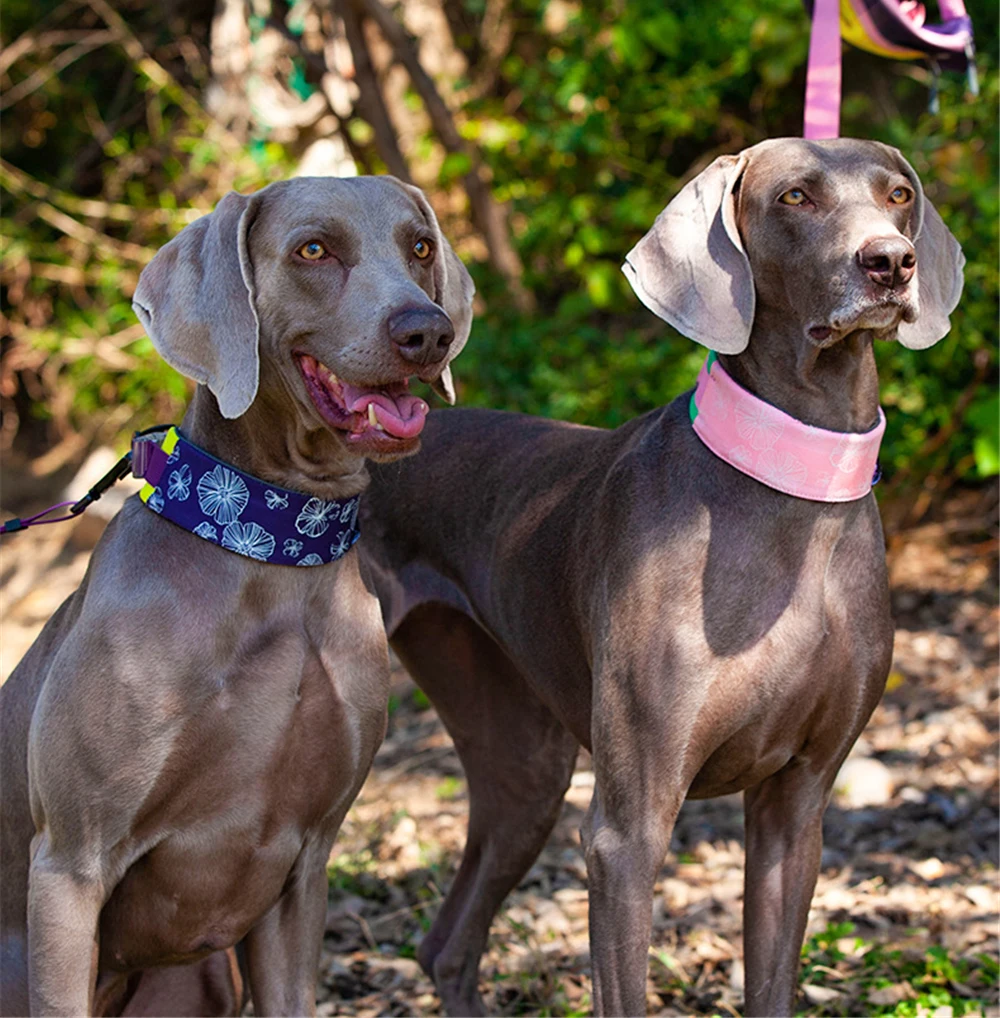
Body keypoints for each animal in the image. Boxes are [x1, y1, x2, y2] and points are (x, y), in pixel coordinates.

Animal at [0, 177, 474, 1018]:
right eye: (313, 249)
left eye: (420, 246)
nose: (429, 332)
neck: (272, 548)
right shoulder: (70, 864)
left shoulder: (303, 868)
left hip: (207, 976)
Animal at [358, 137, 961, 1018]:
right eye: (796, 197)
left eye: (899, 195)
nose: (890, 261)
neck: (794, 494)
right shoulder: (627, 831)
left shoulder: (797, 807)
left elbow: (772, 982)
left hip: (525, 764)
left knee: (447, 946)